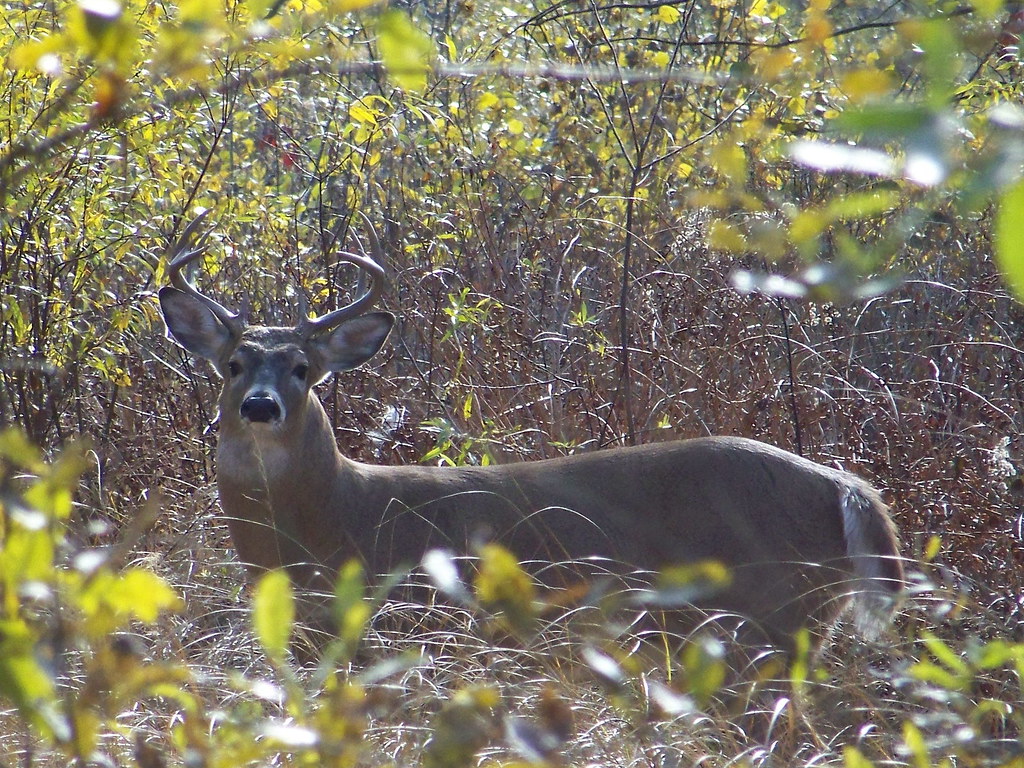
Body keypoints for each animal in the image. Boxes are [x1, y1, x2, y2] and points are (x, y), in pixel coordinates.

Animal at [158, 215, 903, 659]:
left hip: (772, 615)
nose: (259, 407)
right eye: (233, 364)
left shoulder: (416, 623)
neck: (340, 517)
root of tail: (849, 488)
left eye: (302, 369)